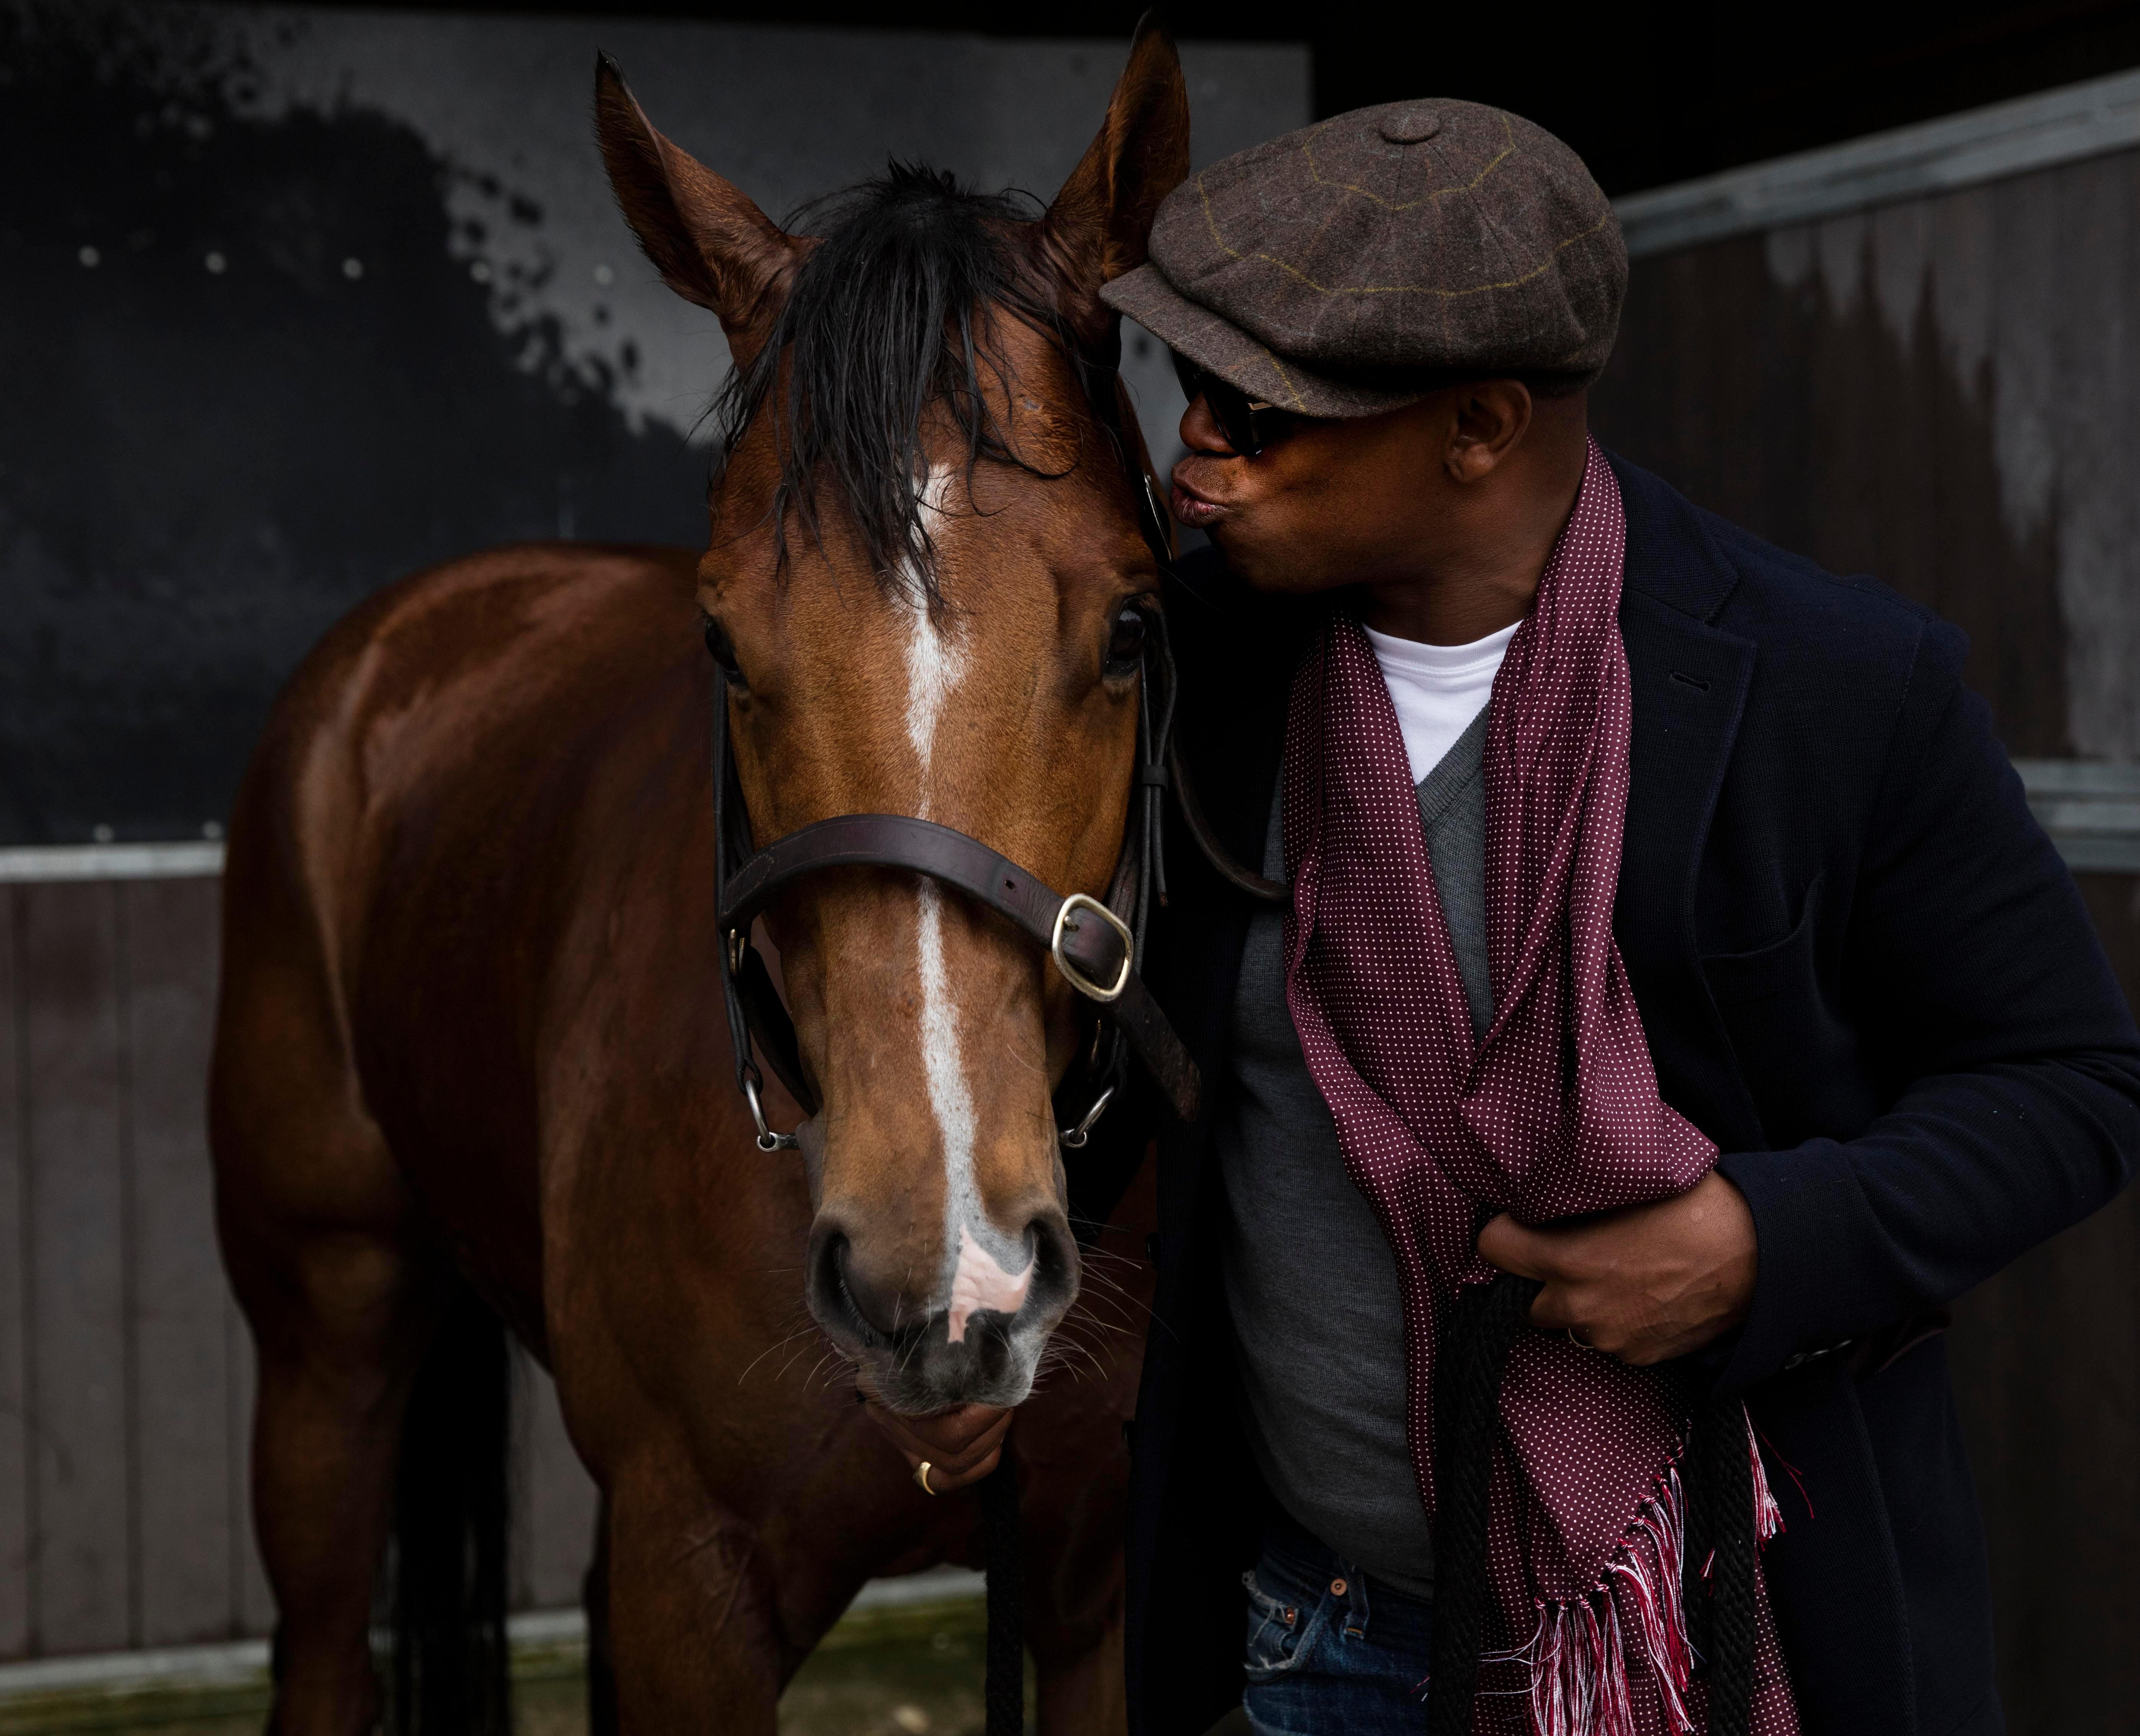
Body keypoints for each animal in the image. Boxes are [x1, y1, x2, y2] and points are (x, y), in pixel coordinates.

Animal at [208, 30, 1198, 1736]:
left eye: (1131, 626)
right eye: (727, 643)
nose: (945, 1276)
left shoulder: (1100, 1590)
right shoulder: (694, 1578)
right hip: (324, 1351)